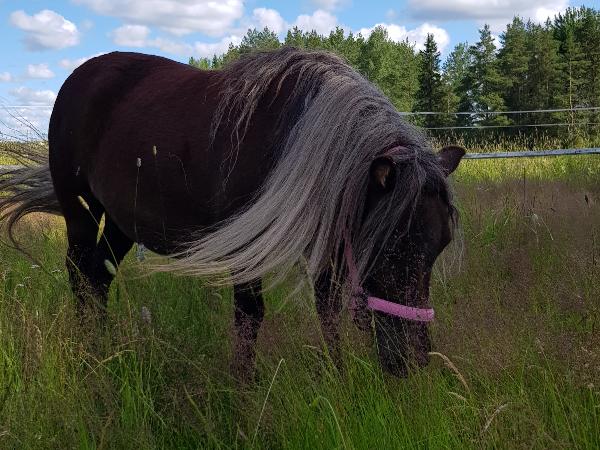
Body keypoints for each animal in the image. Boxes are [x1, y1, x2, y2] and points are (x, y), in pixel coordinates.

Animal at [0, 47, 464, 379]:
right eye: (392, 246)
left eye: (440, 247)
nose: (413, 361)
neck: (295, 140)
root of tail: (80, 76)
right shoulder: (248, 247)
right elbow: (250, 315)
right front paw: (245, 387)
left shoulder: (329, 242)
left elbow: (327, 310)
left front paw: (337, 377)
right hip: (78, 207)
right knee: (80, 273)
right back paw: (87, 354)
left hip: (120, 220)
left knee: (99, 276)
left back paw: (102, 348)